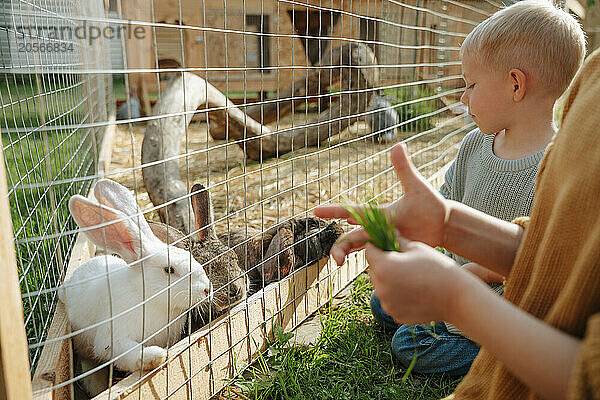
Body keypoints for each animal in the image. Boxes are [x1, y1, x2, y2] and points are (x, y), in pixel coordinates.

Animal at [58, 180, 212, 374]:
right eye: (169, 270)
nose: (207, 289)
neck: (146, 297)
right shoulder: (112, 337)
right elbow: (125, 351)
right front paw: (155, 356)